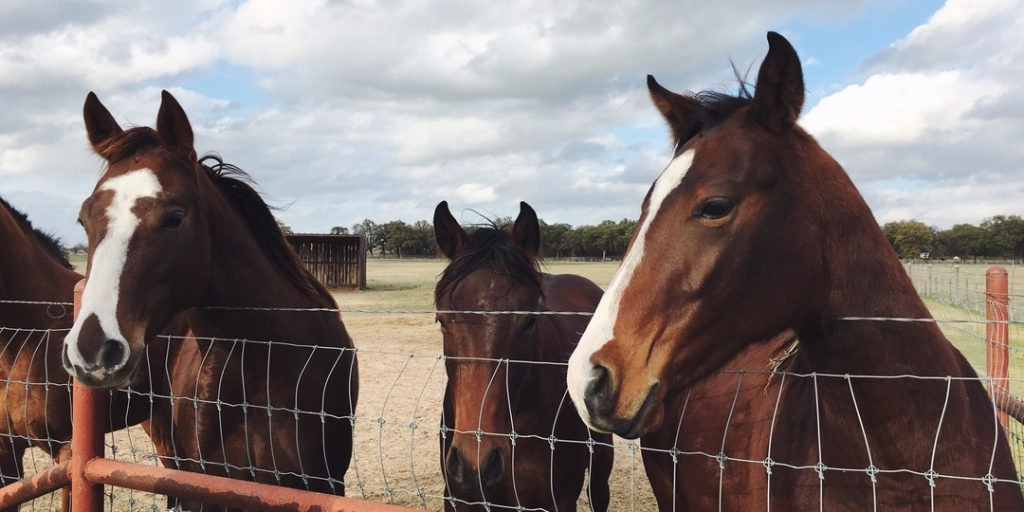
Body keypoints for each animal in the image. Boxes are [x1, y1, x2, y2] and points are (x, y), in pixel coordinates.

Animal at [62, 90, 360, 509]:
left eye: (173, 218)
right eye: (84, 219)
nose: (91, 349)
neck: (264, 364)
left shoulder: (321, 486)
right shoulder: (203, 487)